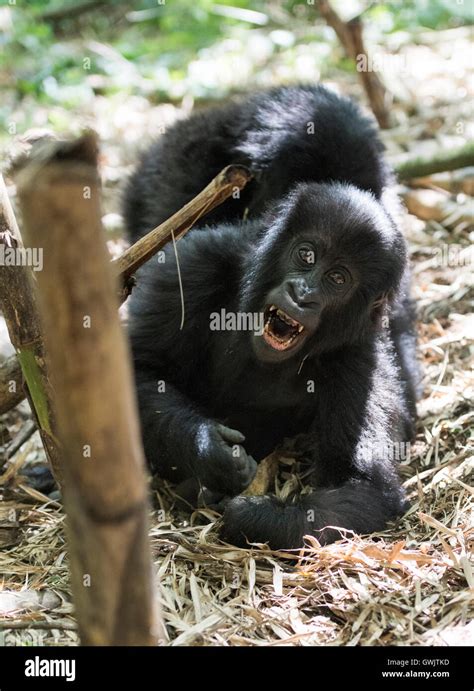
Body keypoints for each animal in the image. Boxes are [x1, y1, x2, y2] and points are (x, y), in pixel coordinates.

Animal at [124, 84, 416, 548]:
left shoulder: (359, 355)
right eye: (306, 254)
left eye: (338, 279)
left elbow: (365, 486)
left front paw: (256, 516)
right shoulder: (193, 263)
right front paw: (208, 448)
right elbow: (138, 368)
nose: (303, 294)